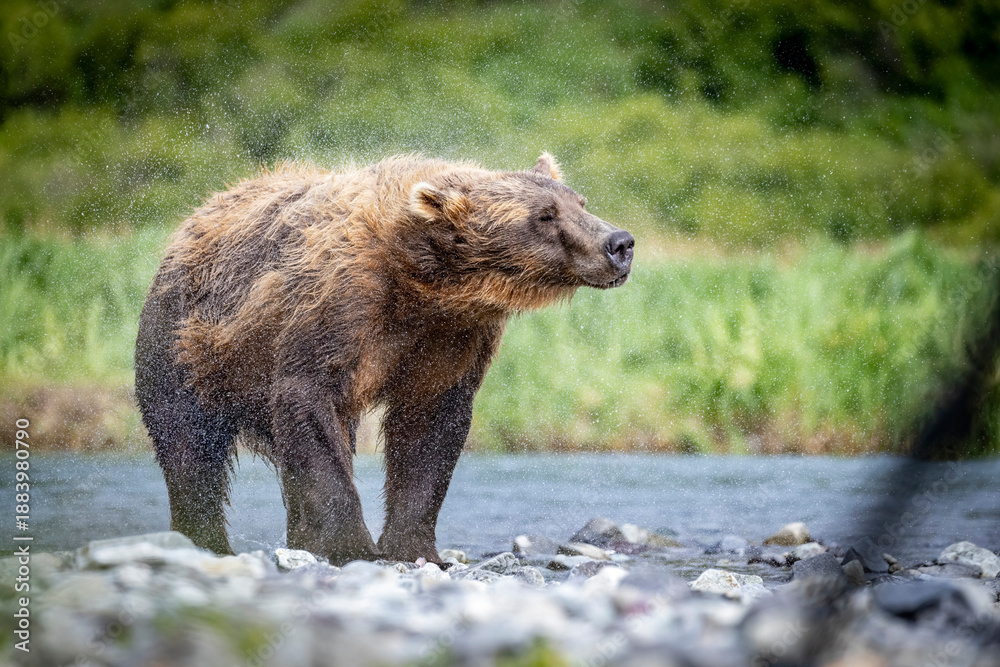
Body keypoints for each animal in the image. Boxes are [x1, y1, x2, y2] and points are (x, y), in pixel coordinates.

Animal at [135, 153, 634, 565]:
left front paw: (412, 548)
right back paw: (207, 542)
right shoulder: (339, 307)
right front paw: (352, 545)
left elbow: (428, 431)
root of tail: (191, 220)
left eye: (580, 202)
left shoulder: (452, 338)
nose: (620, 242)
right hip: (184, 344)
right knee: (189, 448)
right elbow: (310, 404)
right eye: (545, 215)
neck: (420, 284)